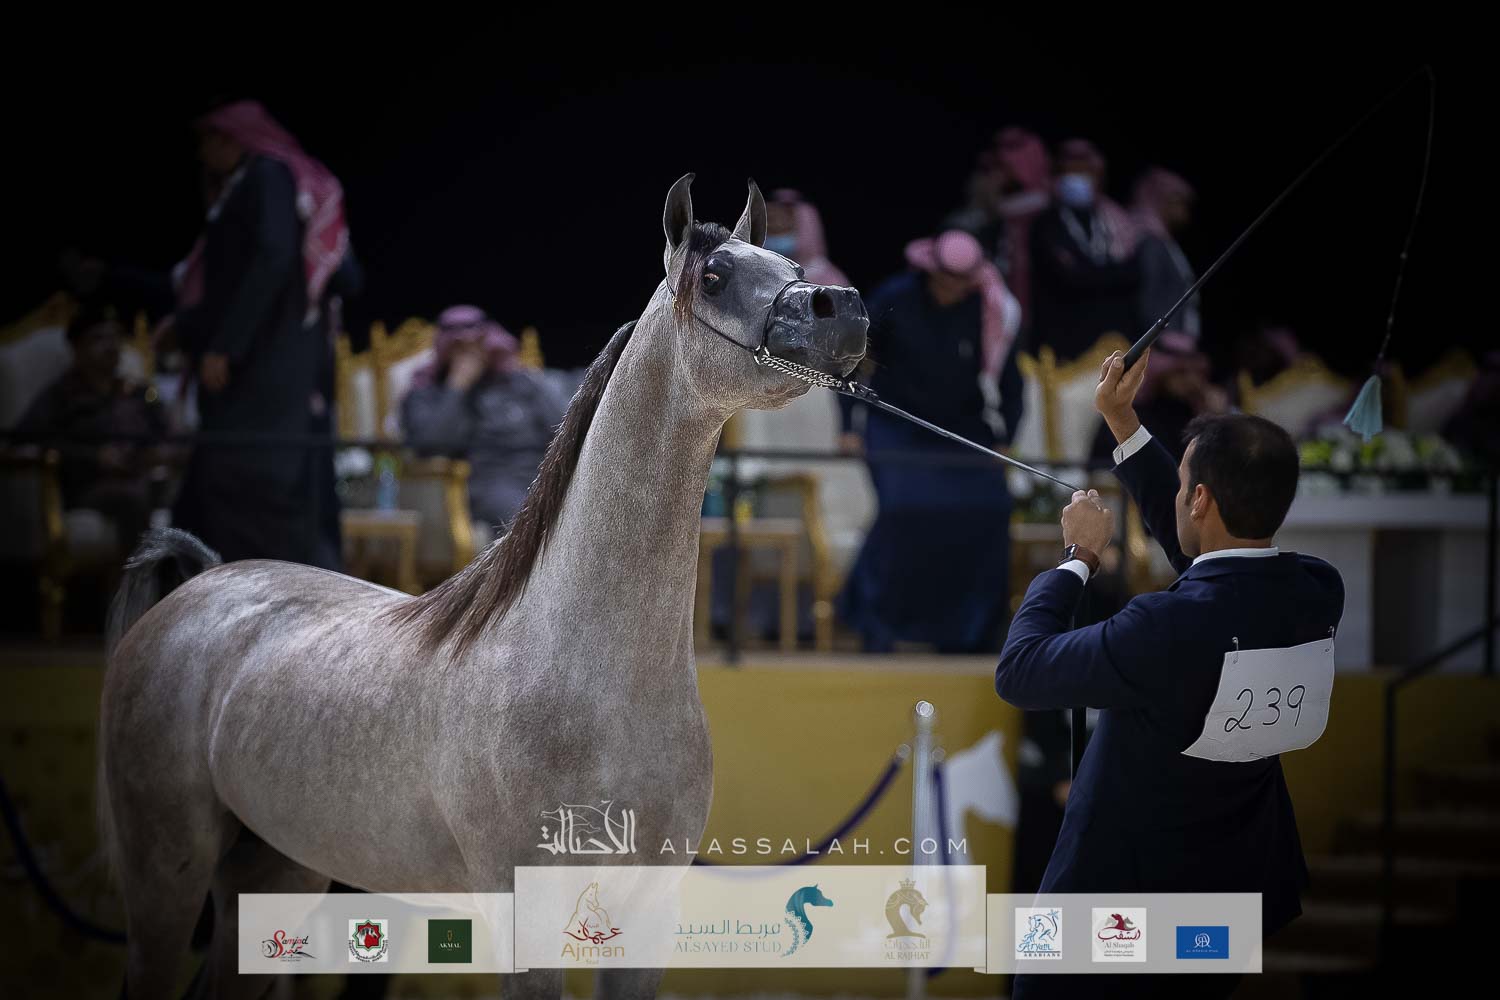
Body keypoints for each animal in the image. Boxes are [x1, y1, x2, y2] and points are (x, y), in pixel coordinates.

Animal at [98, 174, 868, 999]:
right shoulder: (527, 923)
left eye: (790, 263)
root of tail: (201, 582)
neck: (588, 675)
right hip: (166, 873)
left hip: (275, 870)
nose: (843, 306)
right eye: (716, 275)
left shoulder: (648, 918)